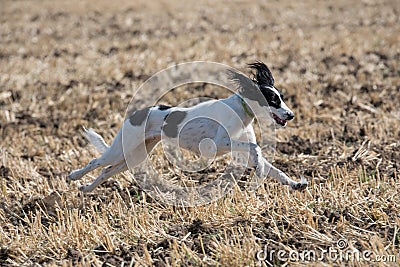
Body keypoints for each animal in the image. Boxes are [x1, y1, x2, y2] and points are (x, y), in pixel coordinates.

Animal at [69, 61, 306, 194]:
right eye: (273, 100)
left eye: (282, 98)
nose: (291, 115)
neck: (241, 111)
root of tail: (136, 114)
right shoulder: (216, 146)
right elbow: (255, 150)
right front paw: (260, 167)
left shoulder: (238, 149)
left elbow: (274, 169)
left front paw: (295, 183)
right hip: (121, 149)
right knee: (96, 162)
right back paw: (74, 176)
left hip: (133, 156)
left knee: (105, 172)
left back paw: (86, 188)